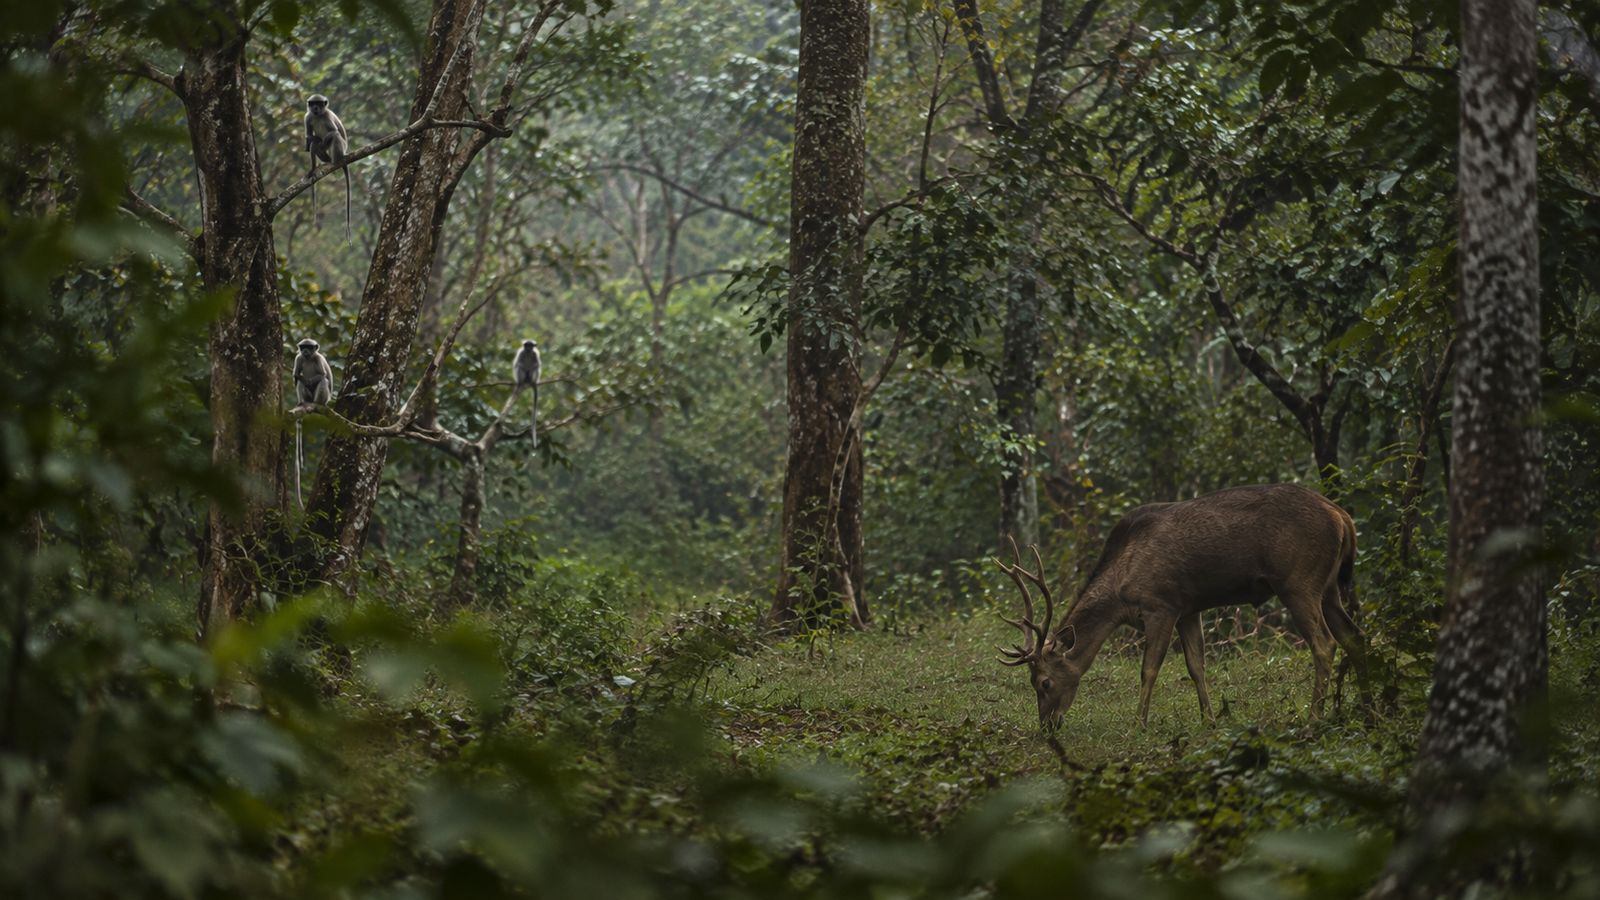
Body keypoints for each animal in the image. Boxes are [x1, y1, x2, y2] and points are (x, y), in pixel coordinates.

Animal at [995, 483, 1369, 729]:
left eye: (1044, 682)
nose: (1048, 726)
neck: (1121, 593)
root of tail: (1343, 518)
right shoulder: (1189, 609)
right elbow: (1195, 666)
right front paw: (1209, 720)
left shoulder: (1161, 603)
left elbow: (1149, 669)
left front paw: (1138, 724)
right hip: (1329, 587)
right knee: (1355, 636)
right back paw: (1369, 706)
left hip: (1298, 580)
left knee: (1324, 643)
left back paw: (1314, 718)